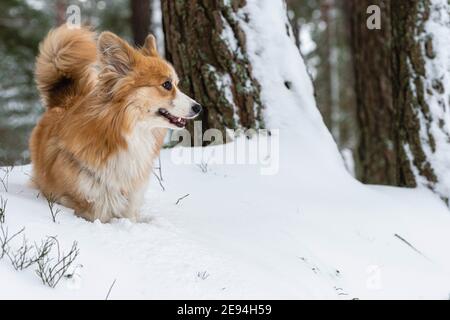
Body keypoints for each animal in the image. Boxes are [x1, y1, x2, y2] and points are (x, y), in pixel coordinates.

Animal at [29, 26, 202, 222]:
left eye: (176, 84)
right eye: (166, 84)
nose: (198, 107)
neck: (131, 133)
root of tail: (65, 100)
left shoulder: (130, 205)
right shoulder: (80, 203)